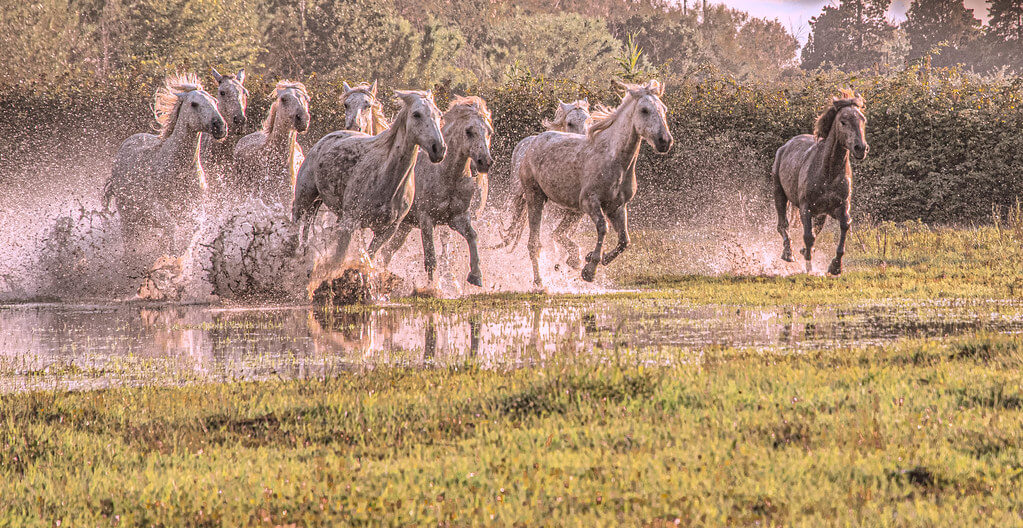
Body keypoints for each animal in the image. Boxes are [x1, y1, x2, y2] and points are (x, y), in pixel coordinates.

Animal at [290, 89, 446, 270]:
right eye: (416, 114)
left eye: (439, 114)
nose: (439, 149)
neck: (388, 180)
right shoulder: (350, 224)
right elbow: (338, 259)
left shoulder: (386, 232)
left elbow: (369, 258)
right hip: (304, 197)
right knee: (295, 222)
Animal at [380, 94, 495, 284]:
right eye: (469, 131)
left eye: (489, 132)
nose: (484, 162)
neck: (447, 175)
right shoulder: (426, 219)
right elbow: (431, 258)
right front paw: (433, 286)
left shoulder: (457, 218)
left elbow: (472, 236)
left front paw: (476, 275)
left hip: (403, 227)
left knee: (386, 251)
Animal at [501, 80, 671, 286]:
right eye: (644, 110)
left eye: (664, 109)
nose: (665, 141)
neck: (614, 159)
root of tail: (533, 142)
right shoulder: (590, 202)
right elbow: (602, 228)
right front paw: (589, 270)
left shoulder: (617, 206)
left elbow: (624, 241)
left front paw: (594, 258)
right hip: (535, 196)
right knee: (534, 243)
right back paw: (540, 283)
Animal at [773, 89, 871, 276]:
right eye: (843, 121)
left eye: (863, 119)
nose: (861, 148)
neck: (828, 172)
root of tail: (785, 146)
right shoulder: (805, 207)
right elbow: (808, 236)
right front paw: (809, 266)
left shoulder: (840, 206)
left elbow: (844, 227)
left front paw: (836, 266)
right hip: (779, 193)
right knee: (783, 224)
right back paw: (788, 254)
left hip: (821, 214)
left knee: (814, 230)